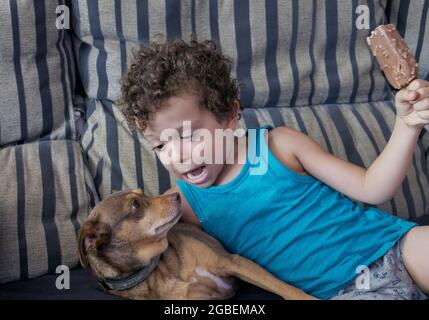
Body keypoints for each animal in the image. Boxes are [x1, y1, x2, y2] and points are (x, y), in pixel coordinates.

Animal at [77, 189, 314, 298]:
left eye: (143, 193)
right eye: (135, 204)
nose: (176, 195)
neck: (160, 270)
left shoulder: (232, 261)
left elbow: (286, 289)